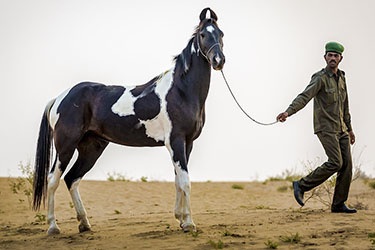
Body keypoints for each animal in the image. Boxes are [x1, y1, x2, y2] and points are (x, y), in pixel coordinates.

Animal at [32, 7, 225, 234]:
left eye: (221, 34)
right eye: (203, 35)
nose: (219, 61)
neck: (181, 91)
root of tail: (60, 98)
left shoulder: (187, 143)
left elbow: (178, 180)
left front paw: (180, 218)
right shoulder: (175, 141)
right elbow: (185, 181)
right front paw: (188, 223)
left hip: (91, 147)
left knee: (72, 179)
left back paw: (84, 224)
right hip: (65, 145)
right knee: (53, 179)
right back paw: (53, 226)